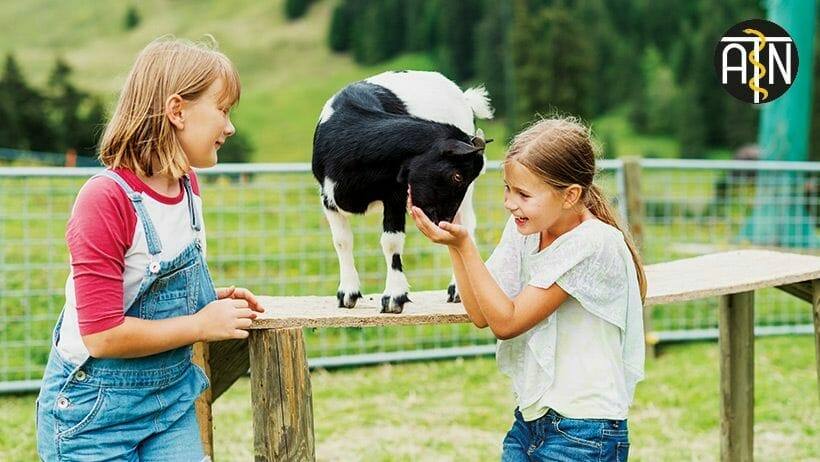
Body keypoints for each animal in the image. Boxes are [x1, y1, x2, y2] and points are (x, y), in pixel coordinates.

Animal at [312, 69, 494, 314]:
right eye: (457, 176)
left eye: (464, 178)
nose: (441, 221)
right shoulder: (327, 197)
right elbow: (342, 241)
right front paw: (347, 293)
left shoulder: (395, 195)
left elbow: (391, 241)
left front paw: (394, 297)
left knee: (466, 225)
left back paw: (456, 289)